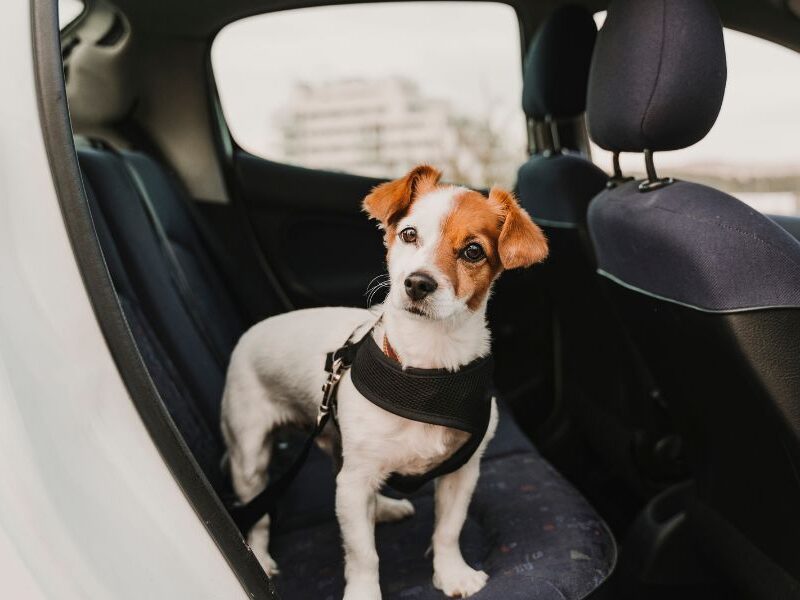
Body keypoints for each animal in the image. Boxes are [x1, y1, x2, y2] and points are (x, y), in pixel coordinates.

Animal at [222, 164, 548, 600]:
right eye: (409, 234)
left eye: (473, 251)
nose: (418, 282)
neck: (425, 370)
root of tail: (251, 333)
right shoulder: (355, 481)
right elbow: (363, 555)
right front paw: (364, 592)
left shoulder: (462, 472)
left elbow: (448, 530)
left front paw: (452, 574)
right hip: (250, 458)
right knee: (257, 516)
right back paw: (259, 557)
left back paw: (385, 509)